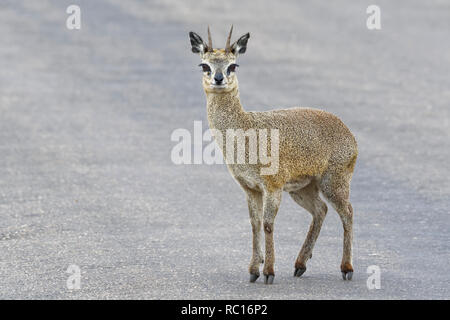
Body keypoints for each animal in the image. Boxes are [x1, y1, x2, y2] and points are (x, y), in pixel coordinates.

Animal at [188, 26, 356, 284]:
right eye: (204, 65)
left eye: (233, 65)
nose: (218, 78)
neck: (245, 130)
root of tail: (348, 132)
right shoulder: (250, 188)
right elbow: (255, 224)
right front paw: (253, 270)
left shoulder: (272, 186)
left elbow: (268, 224)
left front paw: (268, 271)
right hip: (303, 188)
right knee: (321, 210)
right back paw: (300, 265)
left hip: (333, 182)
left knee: (347, 212)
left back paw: (346, 268)